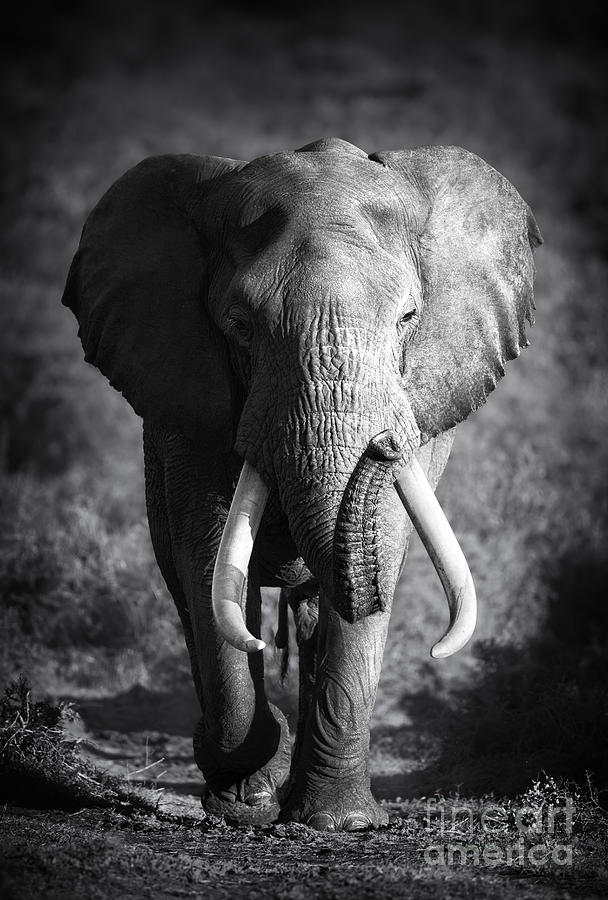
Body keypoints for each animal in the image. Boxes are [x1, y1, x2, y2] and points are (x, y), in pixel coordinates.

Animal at [61, 137, 540, 832]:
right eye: (238, 324)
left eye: (409, 318)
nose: (384, 444)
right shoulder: (187, 404)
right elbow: (209, 559)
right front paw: (244, 800)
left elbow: (381, 550)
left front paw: (340, 823)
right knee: (188, 591)